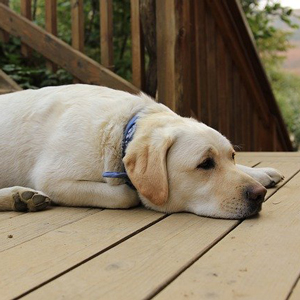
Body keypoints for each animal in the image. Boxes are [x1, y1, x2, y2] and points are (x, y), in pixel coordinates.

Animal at [0, 84, 284, 218]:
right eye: (205, 164)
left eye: (232, 156)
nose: (259, 195)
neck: (124, 130)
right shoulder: (53, 179)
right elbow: (125, 195)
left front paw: (261, 173)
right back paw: (19, 196)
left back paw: (20, 198)